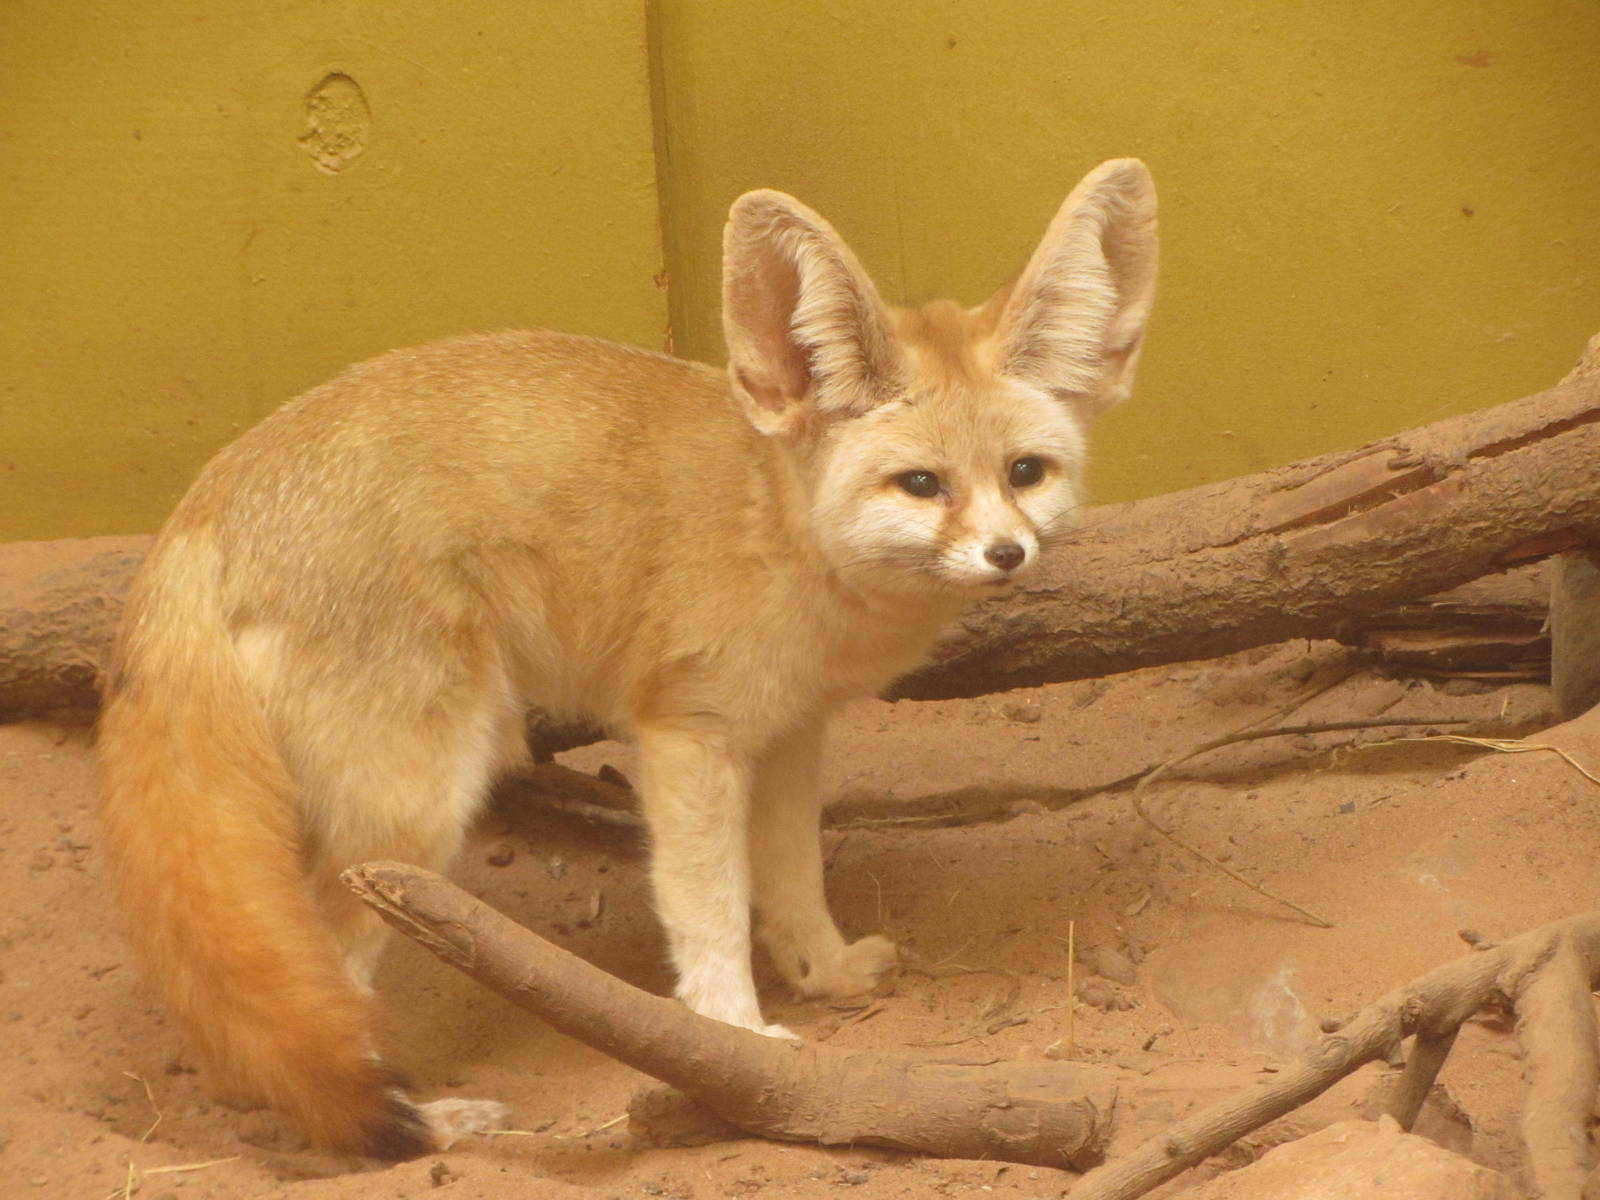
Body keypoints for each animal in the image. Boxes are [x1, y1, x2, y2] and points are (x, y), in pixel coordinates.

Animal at [96, 158, 1157, 1158]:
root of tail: (205, 501)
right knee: (325, 987)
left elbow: (790, 877)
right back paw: (430, 1125)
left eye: (1025, 473)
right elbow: (710, 907)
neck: (777, 529)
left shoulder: (789, 733)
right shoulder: (685, 737)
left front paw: (821, 972)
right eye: (922, 485)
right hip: (414, 813)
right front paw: (734, 1036)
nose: (1008, 554)